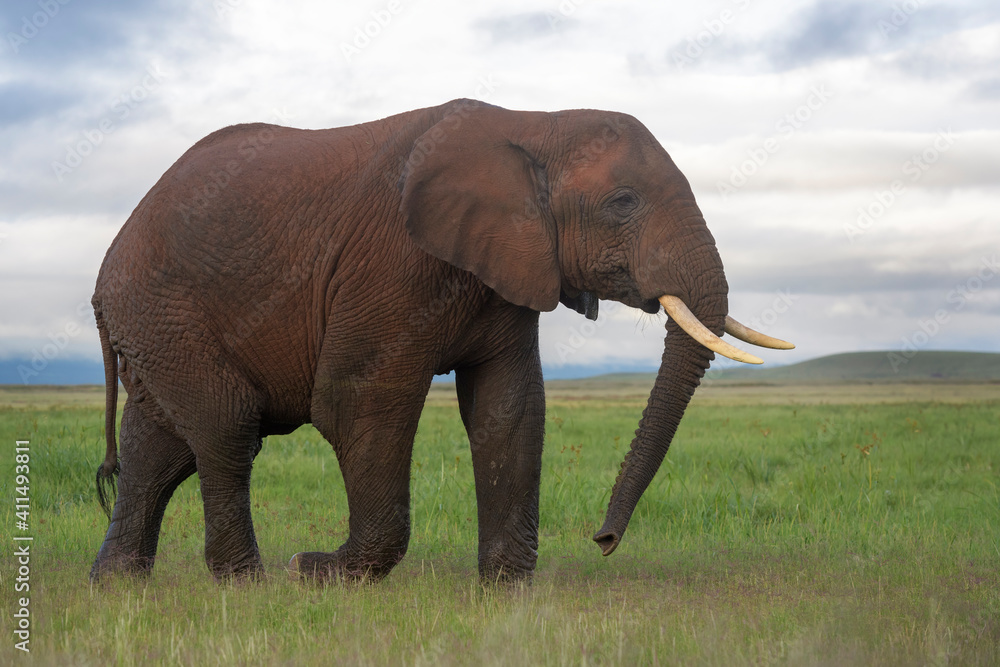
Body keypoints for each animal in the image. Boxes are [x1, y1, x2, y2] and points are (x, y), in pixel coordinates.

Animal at [90, 98, 793, 584]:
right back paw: (249, 584)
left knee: (160, 444)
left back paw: (118, 586)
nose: (604, 541)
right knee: (227, 429)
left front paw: (505, 590)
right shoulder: (391, 261)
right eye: (623, 202)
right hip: (165, 308)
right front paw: (321, 573)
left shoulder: (510, 267)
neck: (534, 124)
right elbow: (360, 400)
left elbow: (510, 406)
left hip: (157, 324)